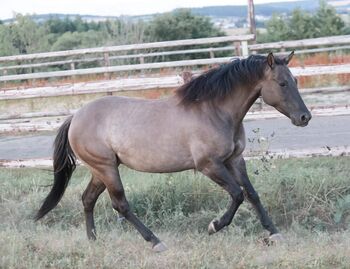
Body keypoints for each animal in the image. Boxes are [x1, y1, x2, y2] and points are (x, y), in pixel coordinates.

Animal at [35, 51, 312, 251]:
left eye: (296, 80)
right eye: (282, 83)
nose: (304, 117)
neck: (214, 111)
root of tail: (75, 117)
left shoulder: (235, 160)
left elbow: (252, 194)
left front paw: (274, 234)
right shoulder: (209, 165)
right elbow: (237, 194)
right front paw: (214, 226)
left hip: (101, 170)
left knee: (88, 199)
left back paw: (93, 241)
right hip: (106, 168)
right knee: (120, 204)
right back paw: (156, 242)